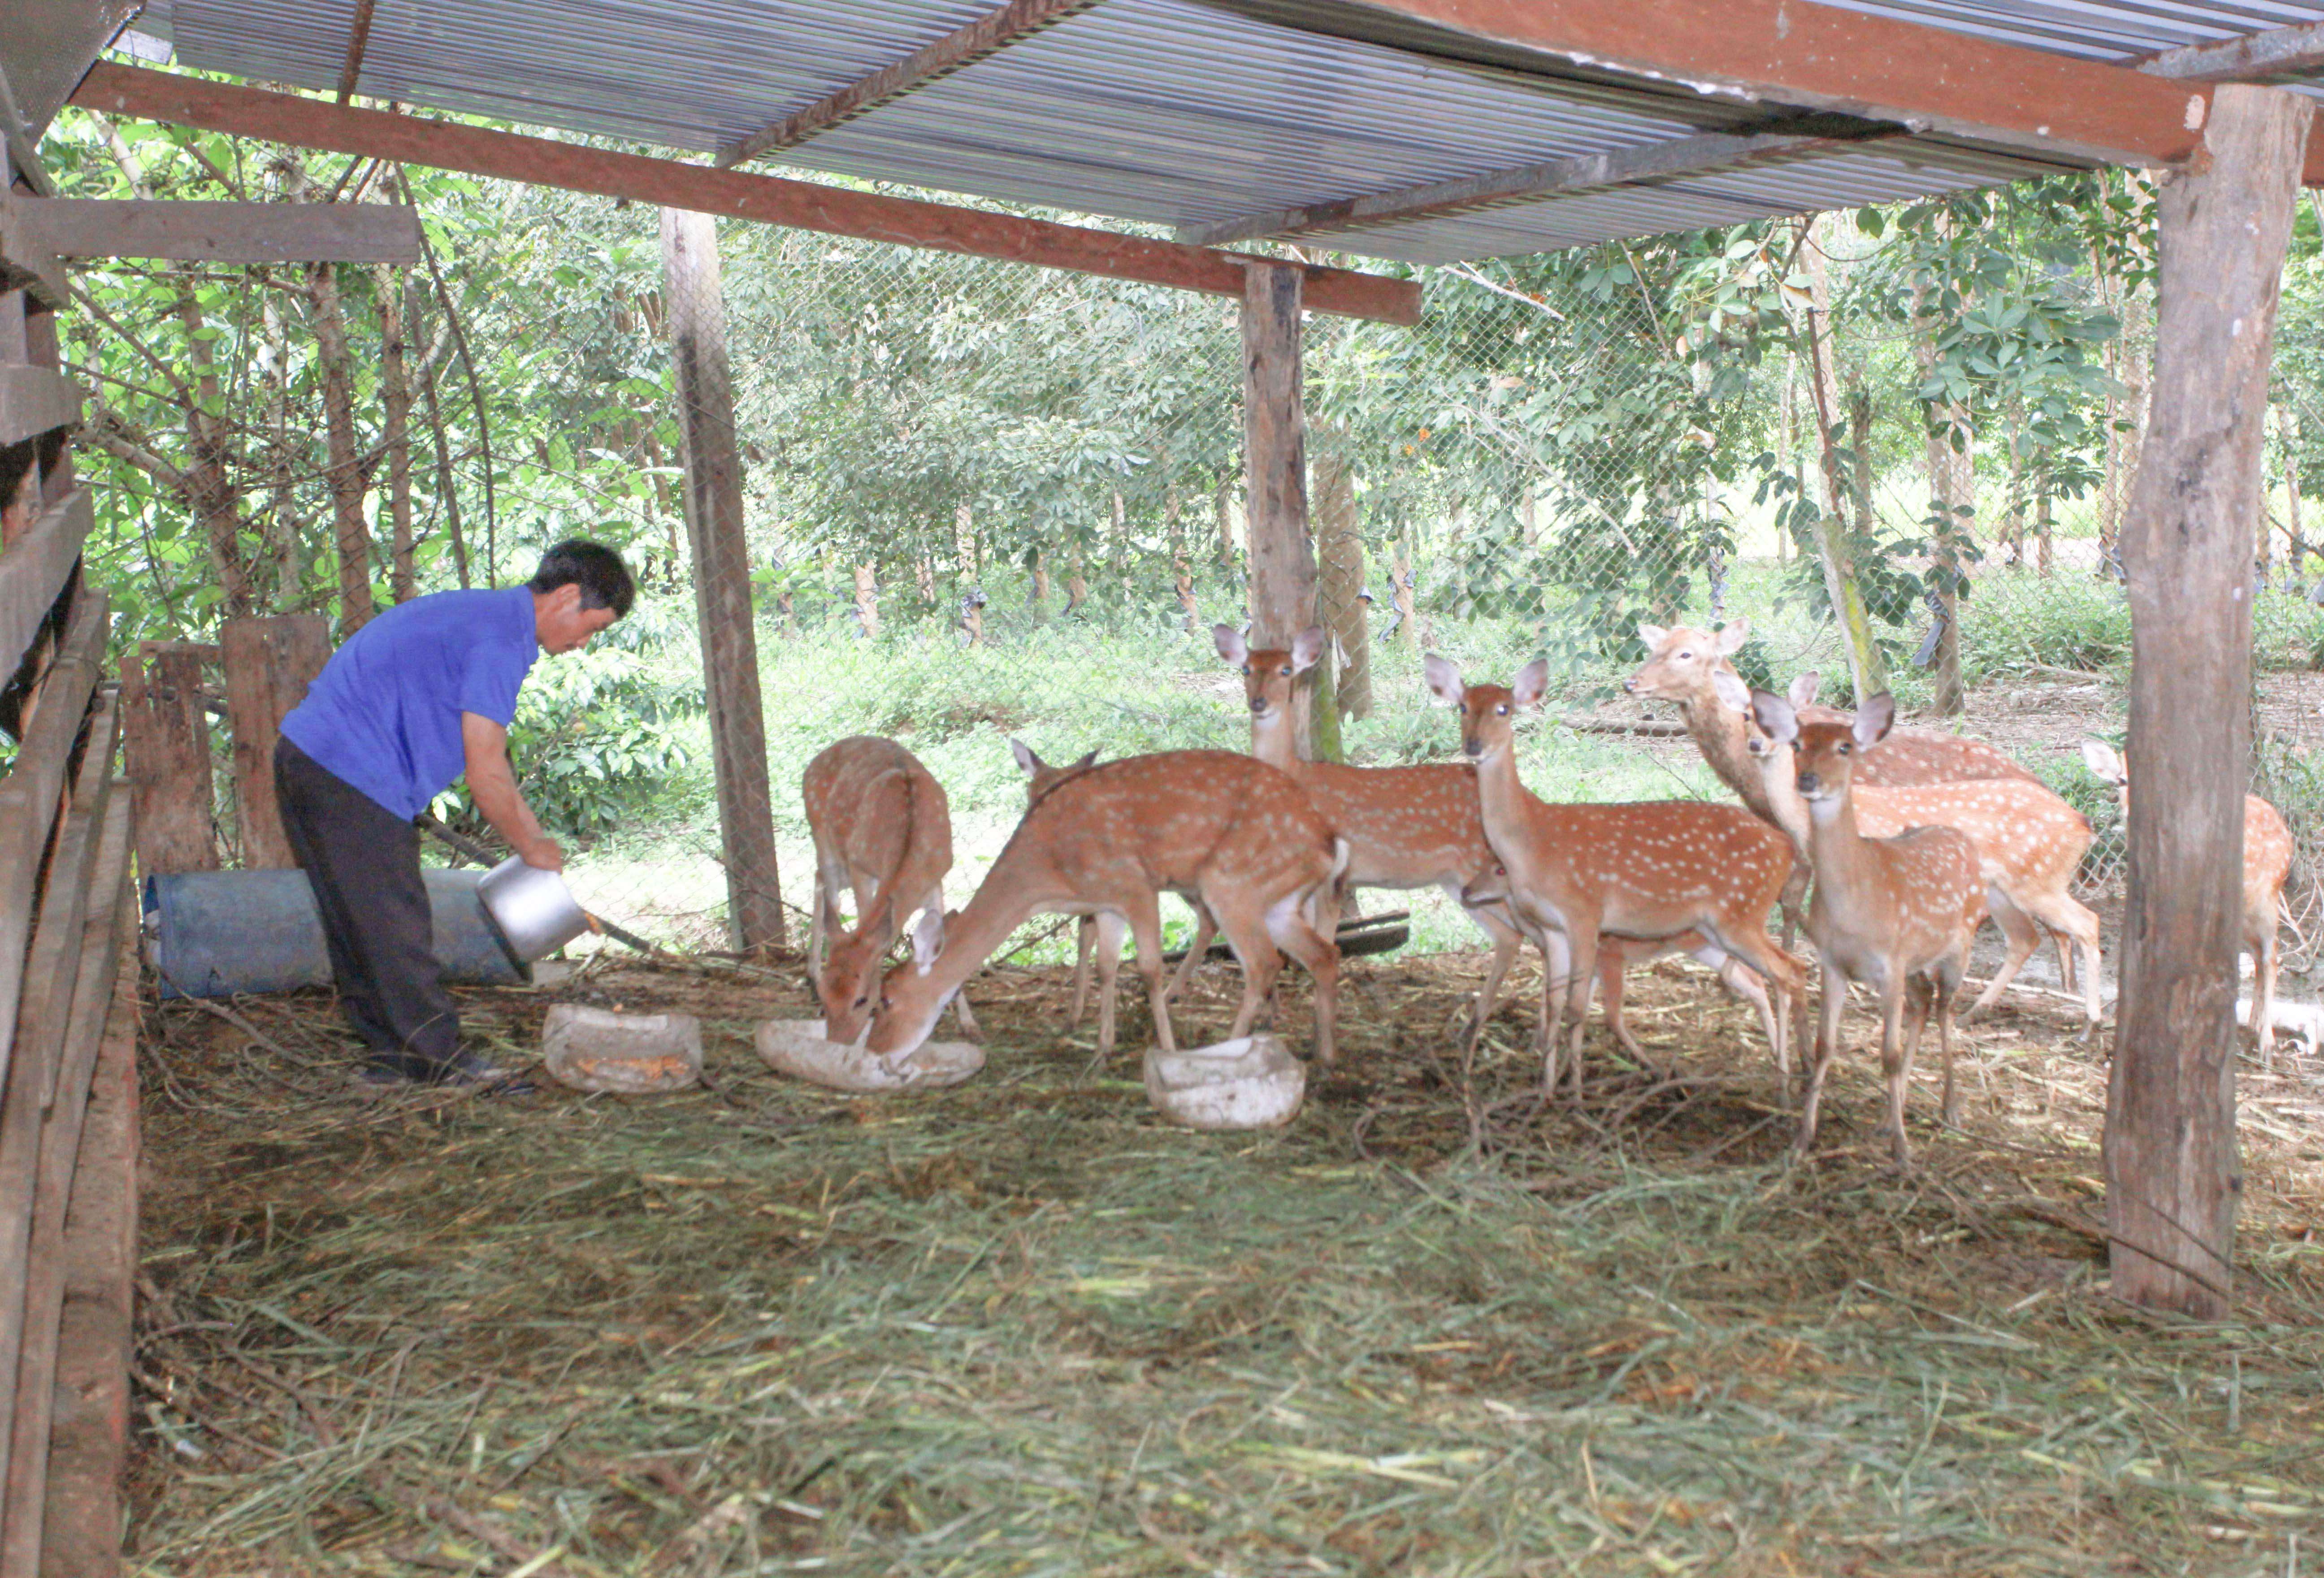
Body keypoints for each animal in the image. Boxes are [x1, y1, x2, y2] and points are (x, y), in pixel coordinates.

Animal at [804, 739, 976, 1050]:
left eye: (861, 999)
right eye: (826, 996)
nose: (837, 1043)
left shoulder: (936, 880)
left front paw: (969, 1024)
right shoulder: (861, 867)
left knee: (819, 879)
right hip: (822, 835)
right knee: (826, 886)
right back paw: (811, 972)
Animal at [869, 748, 1348, 1069]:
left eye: (887, 1000)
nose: (875, 1049)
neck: (1049, 875)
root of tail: (1330, 841)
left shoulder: (1134, 885)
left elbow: (1150, 969)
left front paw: (1167, 1050)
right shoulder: (1106, 904)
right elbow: (1106, 967)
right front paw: (1101, 1050)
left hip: (1231, 883)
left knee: (1263, 963)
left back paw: (1226, 1050)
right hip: (1277, 901)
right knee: (1325, 954)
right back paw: (1325, 1056)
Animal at [1404, 655, 1803, 1097]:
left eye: (1504, 709)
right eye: (1462, 707)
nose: (1474, 746)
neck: (1534, 841)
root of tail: (1785, 846)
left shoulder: (1585, 914)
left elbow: (1578, 1009)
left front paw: (1575, 1094)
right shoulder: (1554, 928)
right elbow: (1554, 1005)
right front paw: (1545, 1092)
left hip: (1742, 914)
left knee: (1790, 972)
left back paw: (1789, 1084)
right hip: (1718, 928)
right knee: (1780, 974)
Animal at [1747, 692, 1989, 1171]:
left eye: (1845, 747)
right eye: (1798, 743)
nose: (1808, 780)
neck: (1855, 909)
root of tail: (1964, 839)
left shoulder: (1890, 962)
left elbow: (1889, 1055)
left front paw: (1904, 1154)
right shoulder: (1834, 963)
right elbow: (1825, 1046)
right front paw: (1802, 1141)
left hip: (1962, 943)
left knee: (1946, 1009)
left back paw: (1950, 1109)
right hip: (1916, 961)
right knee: (1924, 1001)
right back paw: (1889, 1116)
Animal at [2082, 739, 2296, 1059]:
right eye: (2122, 780)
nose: (2133, 810)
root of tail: (2286, 831)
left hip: (2267, 895)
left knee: (2272, 955)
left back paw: (2266, 1042)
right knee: (2260, 955)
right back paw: (2252, 1023)